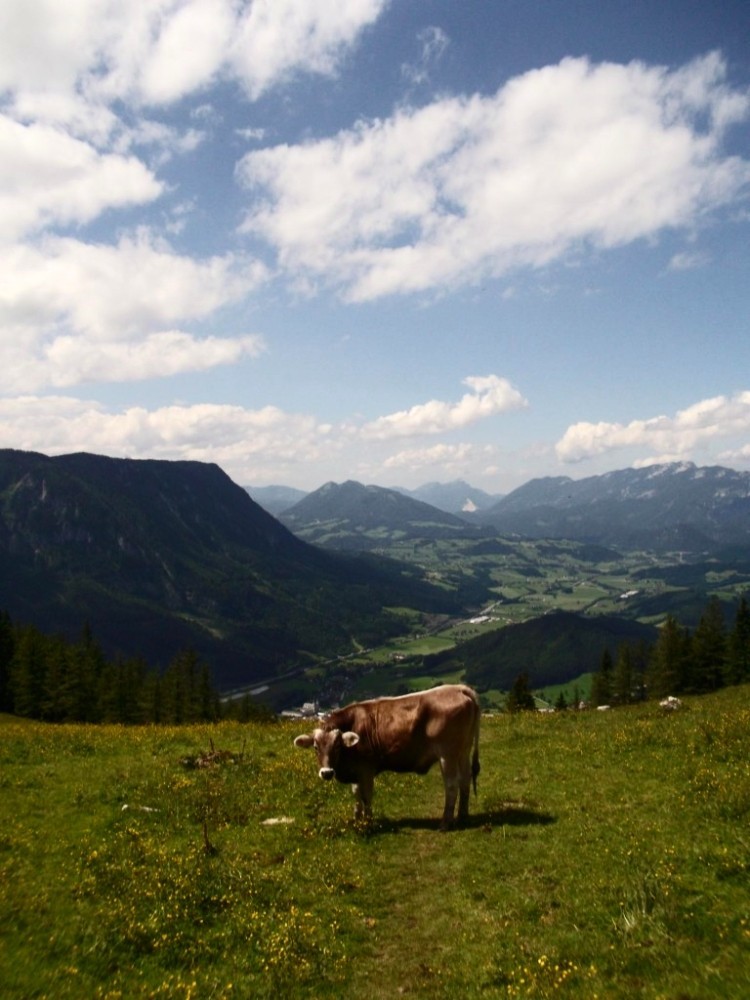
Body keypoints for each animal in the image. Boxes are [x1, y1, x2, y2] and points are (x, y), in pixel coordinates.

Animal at [294, 684, 482, 832]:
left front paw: (368, 823)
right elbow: (356, 795)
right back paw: (462, 816)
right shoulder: (356, 771)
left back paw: (445, 823)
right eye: (316, 747)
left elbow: (366, 796)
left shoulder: (366, 769)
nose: (326, 773)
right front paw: (357, 820)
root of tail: (458, 688)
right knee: (465, 779)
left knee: (452, 785)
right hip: (463, 750)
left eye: (337, 746)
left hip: (447, 754)